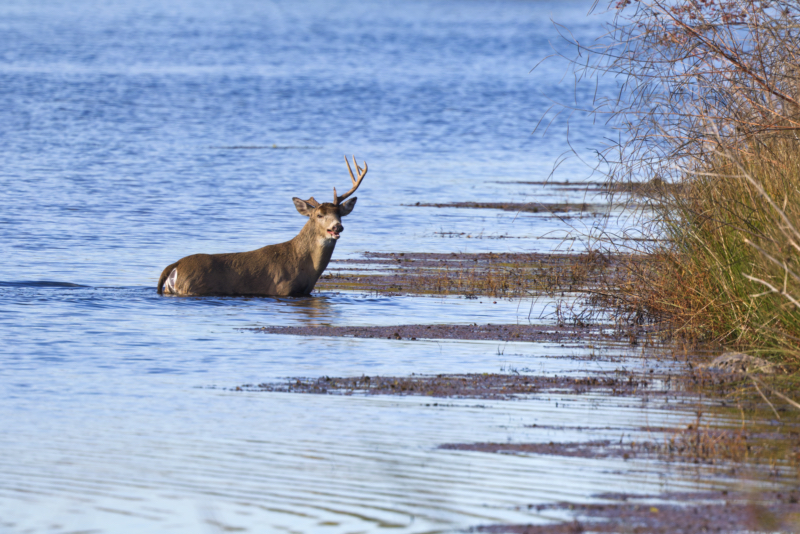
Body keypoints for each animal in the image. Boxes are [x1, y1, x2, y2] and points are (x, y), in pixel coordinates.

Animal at [159, 156, 368, 298]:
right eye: (319, 215)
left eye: (339, 214)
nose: (337, 227)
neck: (305, 266)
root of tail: (175, 266)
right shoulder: (282, 288)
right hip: (192, 286)